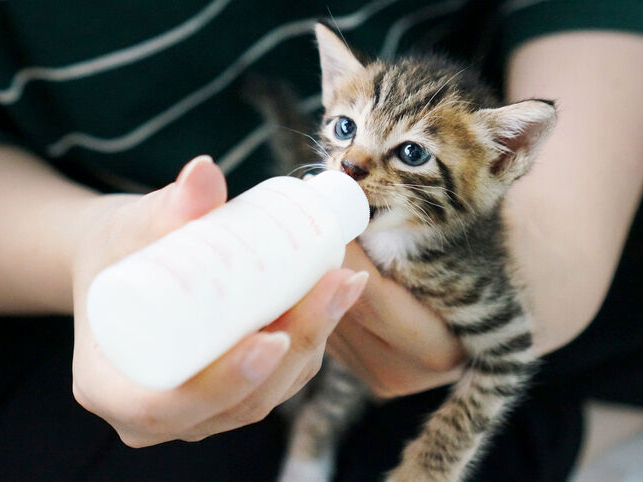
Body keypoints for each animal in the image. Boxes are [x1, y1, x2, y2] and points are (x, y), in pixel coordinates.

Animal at [270, 24, 556, 482]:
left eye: (412, 153)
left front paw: (420, 473)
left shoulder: (506, 334)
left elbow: (464, 417)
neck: (396, 243)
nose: (349, 166)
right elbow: (328, 403)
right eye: (346, 127)